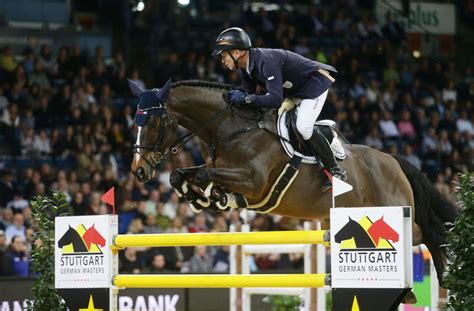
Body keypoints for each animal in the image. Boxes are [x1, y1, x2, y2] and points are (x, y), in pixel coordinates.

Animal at [128, 78, 458, 286]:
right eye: (135, 122)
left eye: (153, 122)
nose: (138, 171)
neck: (231, 128)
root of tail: (393, 160)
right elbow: (180, 174)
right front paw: (200, 197)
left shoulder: (253, 181)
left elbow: (204, 175)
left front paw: (213, 195)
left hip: (396, 212)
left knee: (428, 232)